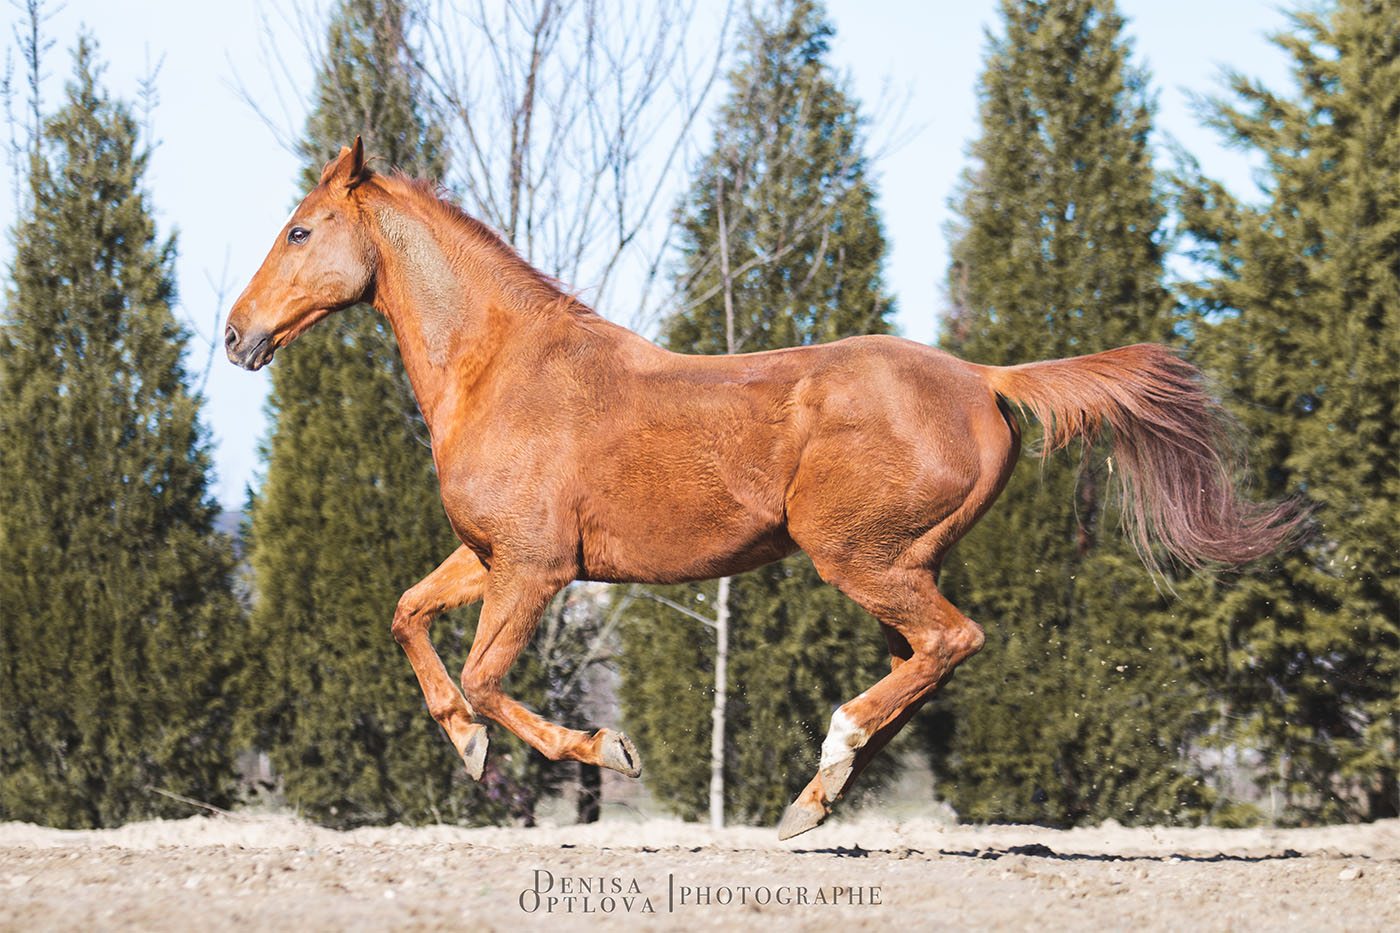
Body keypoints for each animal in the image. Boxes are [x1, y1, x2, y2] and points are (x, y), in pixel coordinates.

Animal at [224, 141, 1304, 840]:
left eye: (299, 230)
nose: (236, 336)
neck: (502, 369)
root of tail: (983, 379)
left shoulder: (535, 568)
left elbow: (489, 677)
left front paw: (604, 749)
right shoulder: (488, 555)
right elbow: (407, 613)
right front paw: (466, 750)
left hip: (859, 556)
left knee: (950, 642)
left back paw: (819, 774)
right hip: (898, 561)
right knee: (926, 659)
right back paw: (818, 793)